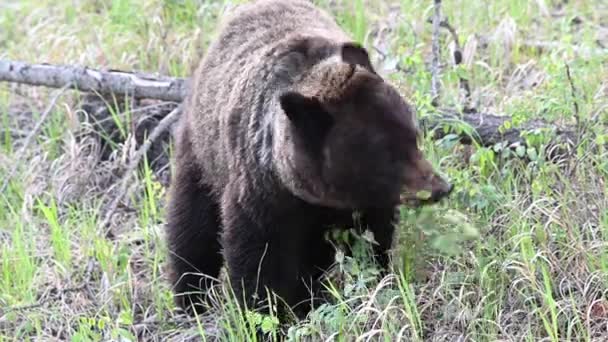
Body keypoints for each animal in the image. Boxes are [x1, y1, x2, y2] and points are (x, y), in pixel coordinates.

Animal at [164, 0, 454, 318]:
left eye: (413, 136)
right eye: (385, 153)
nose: (440, 187)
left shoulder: (363, 206)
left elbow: (373, 242)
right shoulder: (263, 197)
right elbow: (256, 259)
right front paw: (265, 311)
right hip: (203, 152)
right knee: (191, 224)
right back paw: (190, 297)